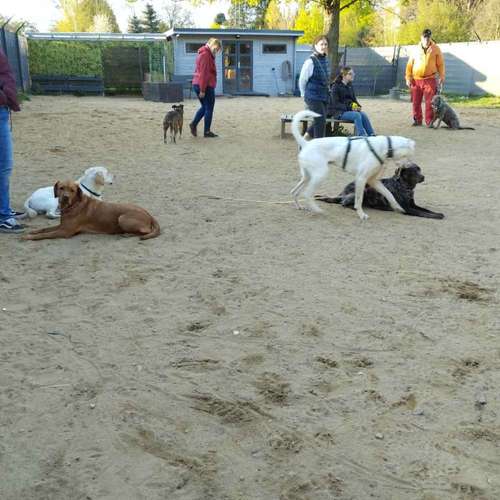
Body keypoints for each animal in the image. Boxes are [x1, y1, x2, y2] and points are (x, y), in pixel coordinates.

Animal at [23, 181, 160, 241]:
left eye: (72, 190)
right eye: (61, 188)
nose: (65, 197)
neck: (74, 205)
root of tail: (149, 214)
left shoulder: (65, 231)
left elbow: (45, 235)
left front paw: (29, 237)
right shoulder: (62, 226)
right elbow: (44, 229)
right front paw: (33, 231)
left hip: (122, 218)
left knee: (145, 231)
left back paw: (126, 234)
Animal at [316, 162, 446, 219]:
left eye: (419, 169)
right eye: (413, 171)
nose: (423, 177)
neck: (405, 186)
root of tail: (341, 193)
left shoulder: (412, 204)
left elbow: (425, 209)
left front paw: (437, 213)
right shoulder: (406, 208)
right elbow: (423, 213)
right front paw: (436, 216)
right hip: (364, 191)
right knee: (345, 204)